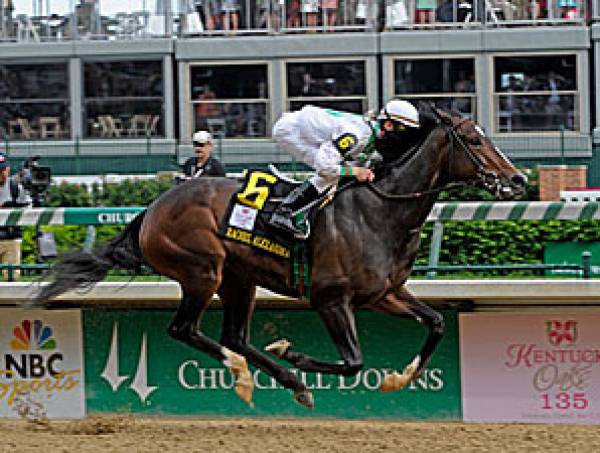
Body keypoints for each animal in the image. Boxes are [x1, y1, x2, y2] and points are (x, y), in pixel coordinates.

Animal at [37, 107, 524, 408]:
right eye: (473, 139)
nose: (518, 180)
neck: (380, 210)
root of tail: (152, 209)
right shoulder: (331, 299)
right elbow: (353, 362)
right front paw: (297, 354)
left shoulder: (384, 294)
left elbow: (437, 323)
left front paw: (396, 379)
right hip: (202, 271)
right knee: (186, 330)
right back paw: (247, 375)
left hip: (239, 279)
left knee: (234, 336)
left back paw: (286, 382)